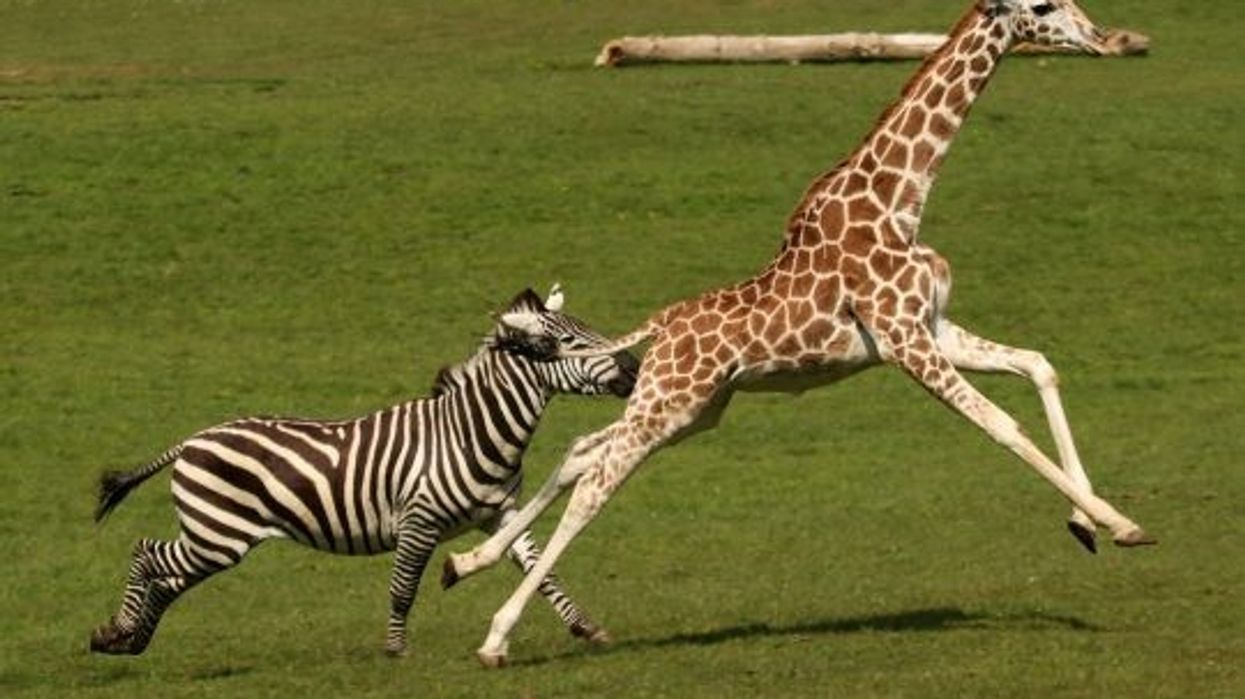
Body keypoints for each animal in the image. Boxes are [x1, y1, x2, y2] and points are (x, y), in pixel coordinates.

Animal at [90, 286, 639, 657]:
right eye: (570, 341)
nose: (635, 367)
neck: (470, 431)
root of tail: (190, 441)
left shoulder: (499, 513)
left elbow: (542, 568)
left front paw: (585, 627)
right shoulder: (419, 521)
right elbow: (403, 586)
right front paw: (396, 652)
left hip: (213, 538)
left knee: (165, 577)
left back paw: (129, 640)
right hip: (219, 534)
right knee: (146, 554)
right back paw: (115, 632)